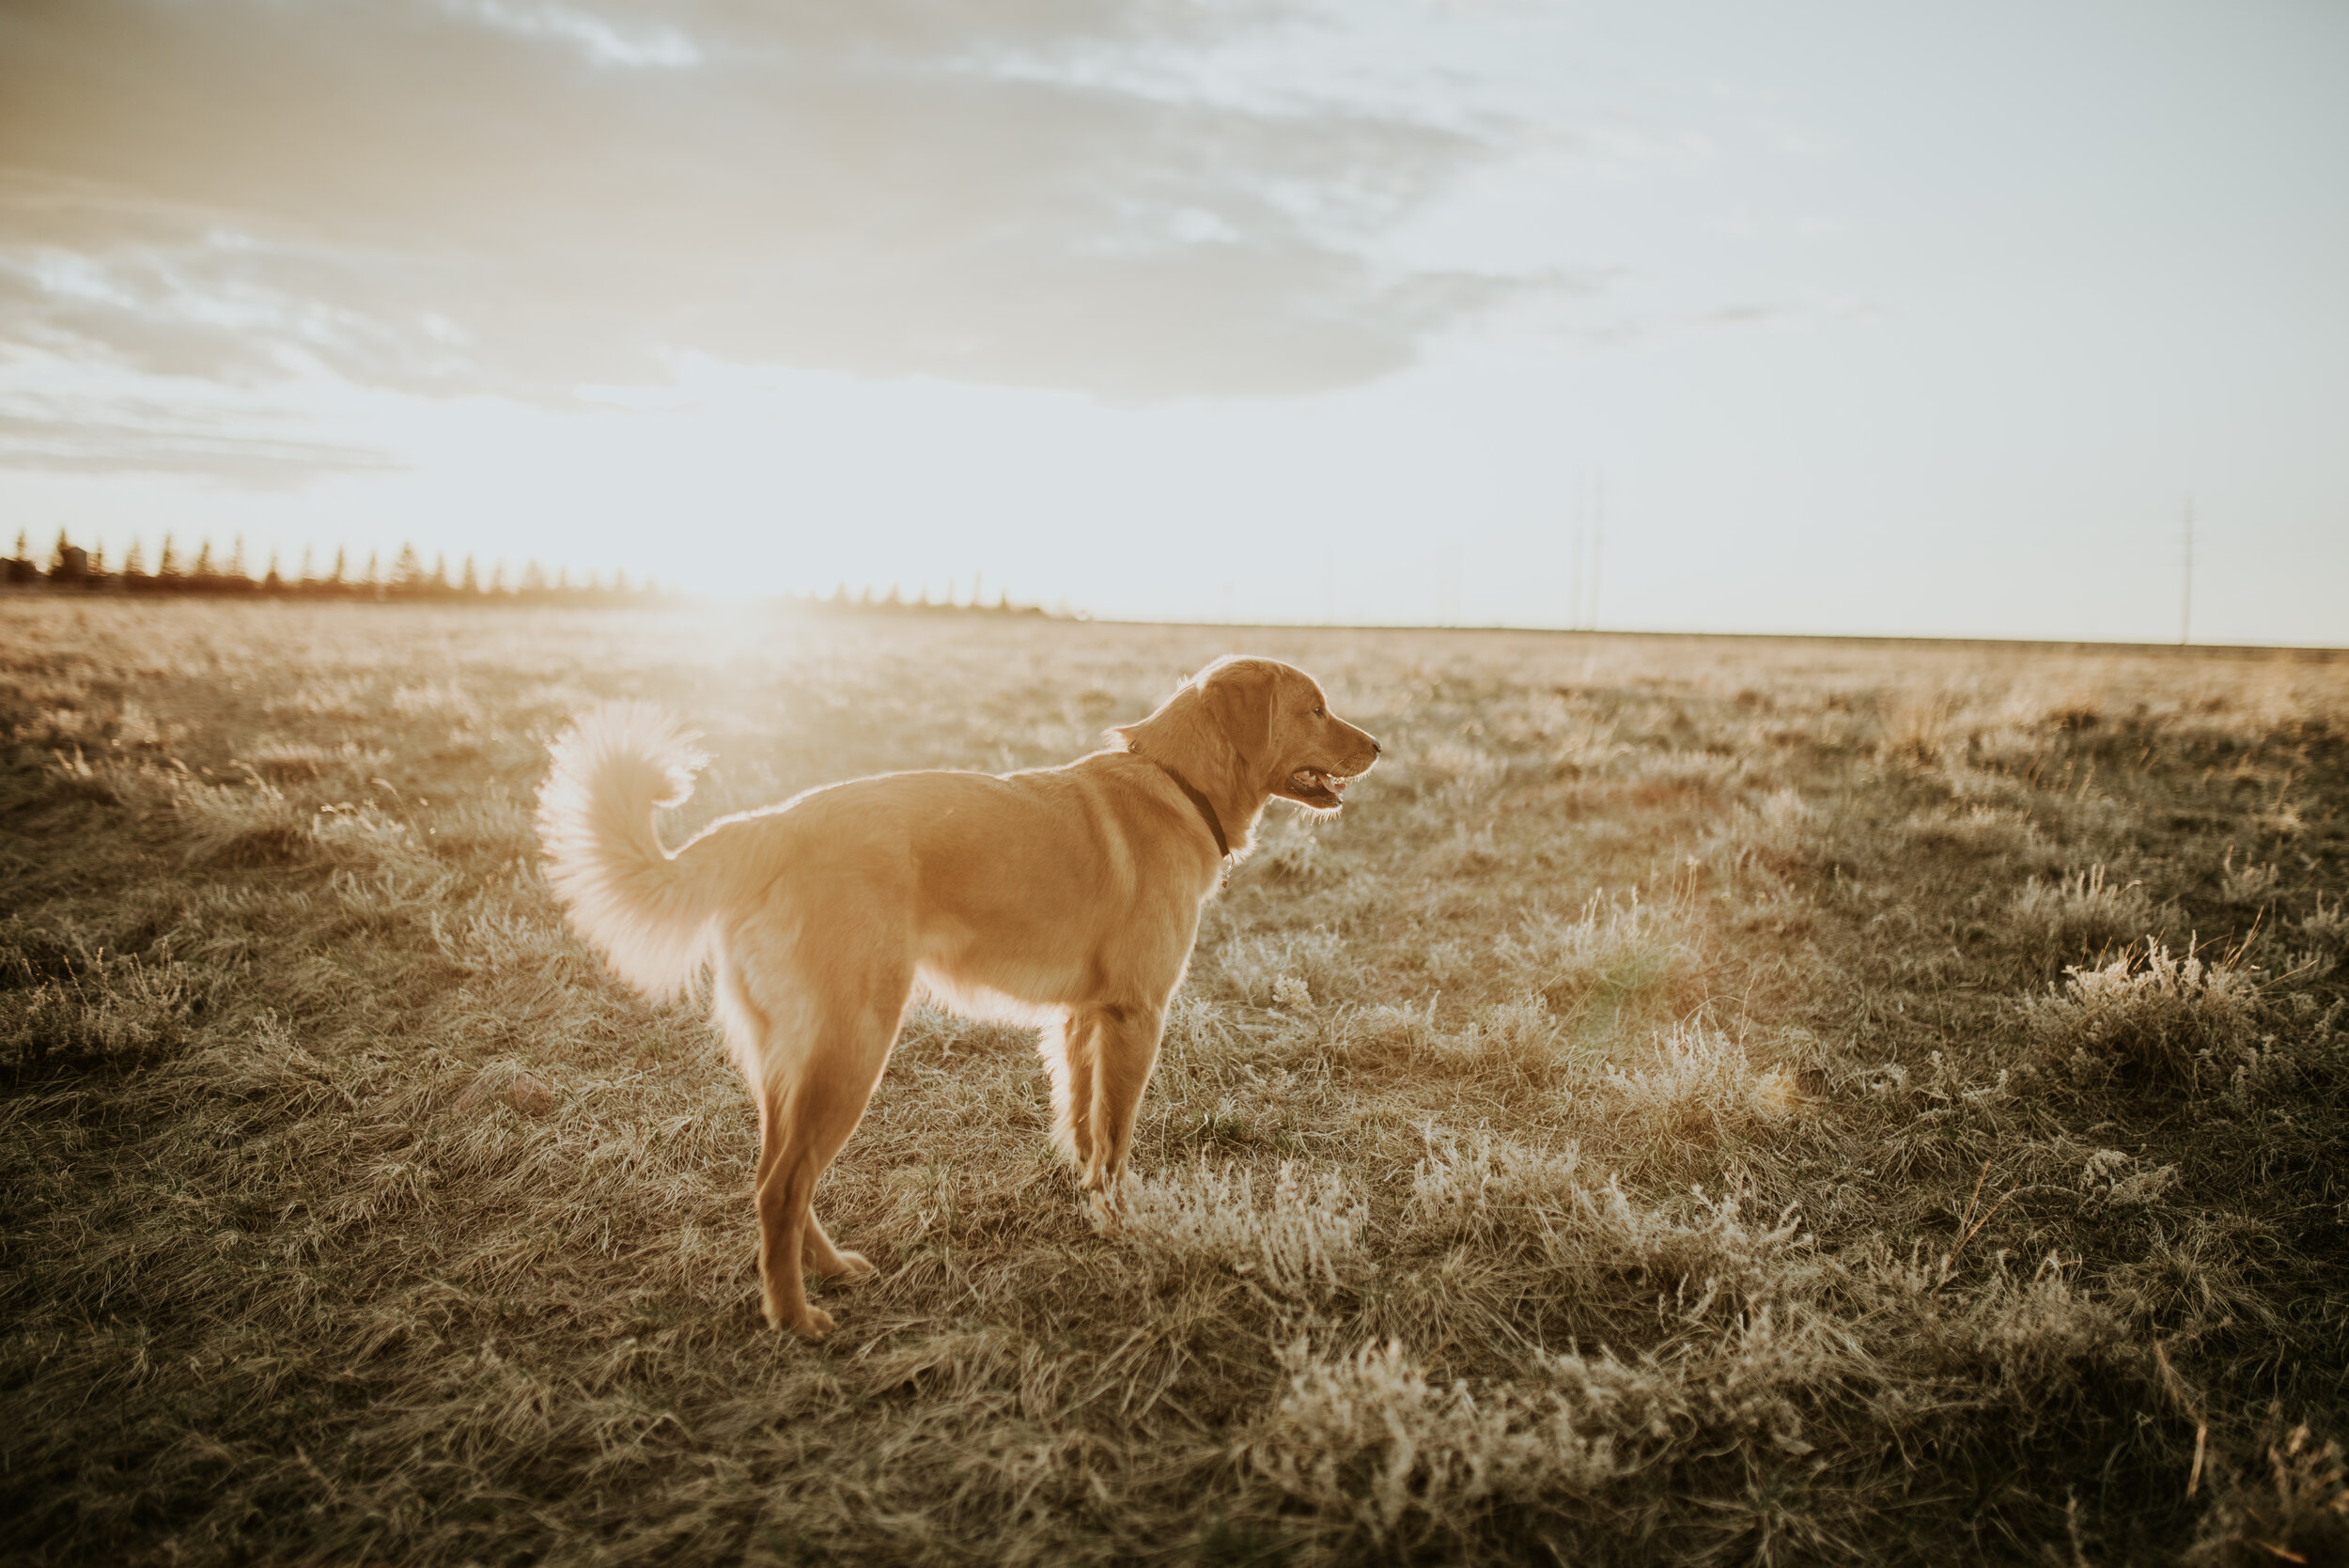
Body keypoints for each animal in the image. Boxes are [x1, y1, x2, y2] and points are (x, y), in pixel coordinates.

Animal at [533, 657, 1372, 1333]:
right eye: (1316, 708)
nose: (1378, 747)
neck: (1178, 780)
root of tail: (773, 824)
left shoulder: (1083, 1019)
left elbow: (1082, 1122)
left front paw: (1085, 1199)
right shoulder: (1137, 1016)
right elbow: (1117, 1136)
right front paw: (1119, 1219)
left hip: (790, 1061)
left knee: (777, 1177)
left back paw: (828, 1270)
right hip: (852, 1050)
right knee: (781, 1187)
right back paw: (795, 1315)